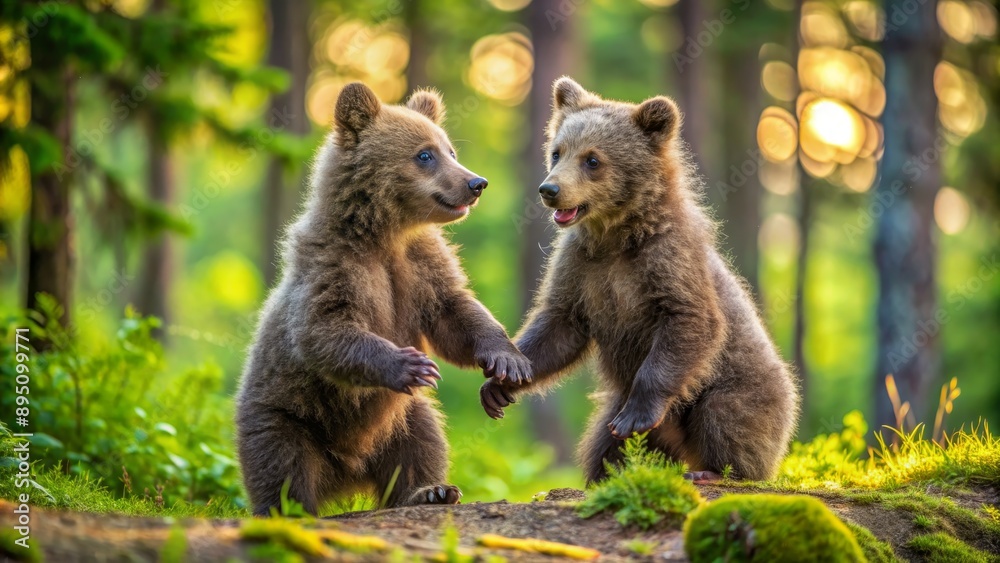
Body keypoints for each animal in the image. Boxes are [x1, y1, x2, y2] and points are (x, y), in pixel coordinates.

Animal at [236, 82, 531, 516]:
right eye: (425, 154)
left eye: (451, 151)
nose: (477, 183)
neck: (384, 233)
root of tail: (345, 474)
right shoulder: (334, 266)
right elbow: (324, 329)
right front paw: (411, 365)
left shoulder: (421, 268)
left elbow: (456, 313)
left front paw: (509, 360)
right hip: (283, 413)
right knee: (281, 464)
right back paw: (291, 509)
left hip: (399, 417)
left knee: (420, 440)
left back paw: (430, 490)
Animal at [480, 77, 799, 484]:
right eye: (557, 152)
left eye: (593, 159)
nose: (549, 190)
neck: (617, 236)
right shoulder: (581, 269)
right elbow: (557, 328)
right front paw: (499, 382)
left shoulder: (667, 261)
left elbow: (690, 320)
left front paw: (637, 415)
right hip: (616, 406)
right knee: (603, 445)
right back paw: (608, 472)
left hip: (742, 388)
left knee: (727, 415)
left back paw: (714, 471)